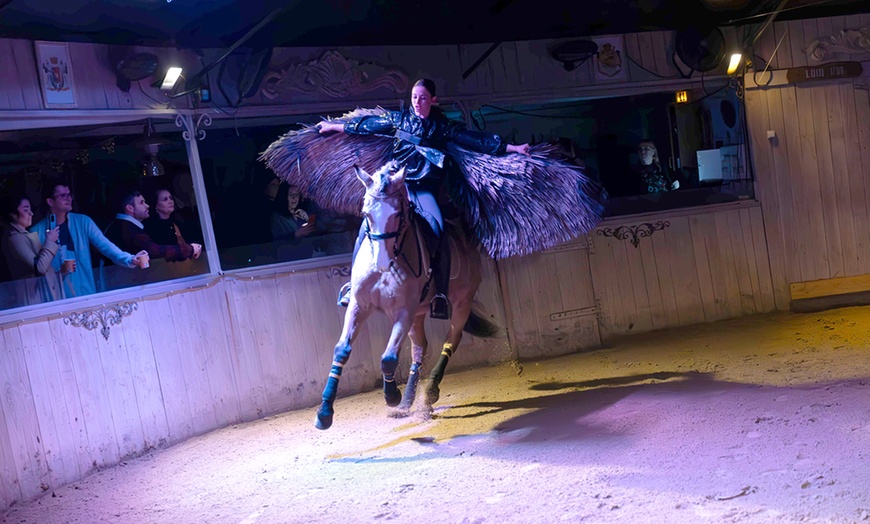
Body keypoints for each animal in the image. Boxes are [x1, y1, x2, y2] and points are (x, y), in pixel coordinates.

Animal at [315, 161, 500, 430]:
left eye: (397, 215)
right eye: (366, 214)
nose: (382, 264)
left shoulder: (403, 311)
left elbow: (388, 358)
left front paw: (392, 396)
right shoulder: (359, 306)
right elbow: (341, 350)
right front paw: (324, 412)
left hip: (460, 303)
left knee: (450, 342)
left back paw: (428, 394)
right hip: (419, 314)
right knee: (420, 348)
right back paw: (407, 404)